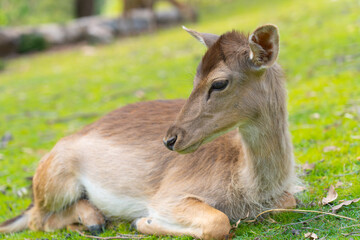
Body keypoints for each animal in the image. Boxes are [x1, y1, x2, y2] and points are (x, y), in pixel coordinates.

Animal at [0, 24, 296, 240]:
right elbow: (218, 221)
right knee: (37, 220)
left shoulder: (284, 196)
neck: (248, 189)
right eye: (194, 79)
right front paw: (142, 221)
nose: (170, 139)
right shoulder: (170, 195)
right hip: (55, 179)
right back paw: (93, 221)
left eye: (219, 82)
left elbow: (290, 201)